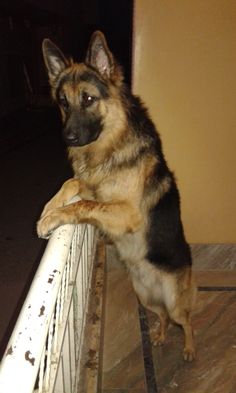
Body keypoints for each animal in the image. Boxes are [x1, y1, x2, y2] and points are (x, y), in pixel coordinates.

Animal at [37, 30, 196, 360]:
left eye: (88, 99)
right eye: (63, 102)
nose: (67, 137)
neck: (111, 142)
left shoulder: (125, 212)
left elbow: (83, 204)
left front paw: (52, 218)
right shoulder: (93, 185)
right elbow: (71, 184)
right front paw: (48, 209)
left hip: (175, 302)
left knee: (186, 322)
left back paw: (188, 348)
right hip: (145, 297)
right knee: (163, 317)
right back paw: (159, 336)